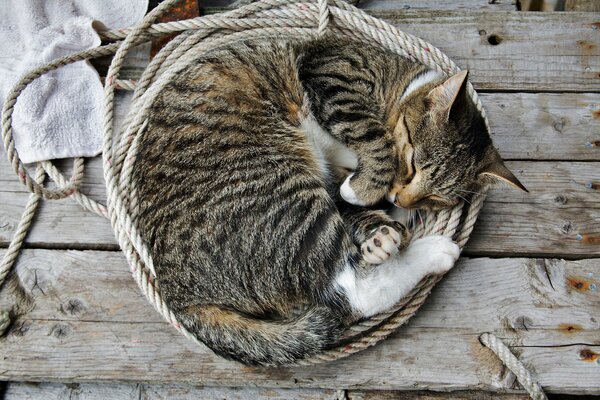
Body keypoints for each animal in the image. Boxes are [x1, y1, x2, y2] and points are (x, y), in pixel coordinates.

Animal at [131, 34, 524, 366]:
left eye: (433, 198)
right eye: (412, 163)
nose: (401, 198)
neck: (395, 81)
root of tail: (182, 295)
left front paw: (379, 227)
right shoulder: (332, 72)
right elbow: (373, 136)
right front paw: (367, 194)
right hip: (285, 194)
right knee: (353, 293)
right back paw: (433, 251)